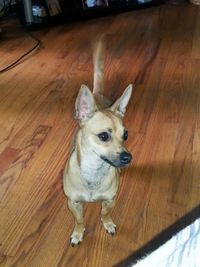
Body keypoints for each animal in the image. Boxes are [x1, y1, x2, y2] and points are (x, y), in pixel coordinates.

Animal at [63, 37, 133, 247]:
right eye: (103, 136)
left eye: (125, 135)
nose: (128, 157)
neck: (94, 172)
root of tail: (96, 94)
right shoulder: (73, 203)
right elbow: (79, 220)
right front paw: (78, 233)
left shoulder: (110, 200)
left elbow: (105, 213)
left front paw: (107, 224)